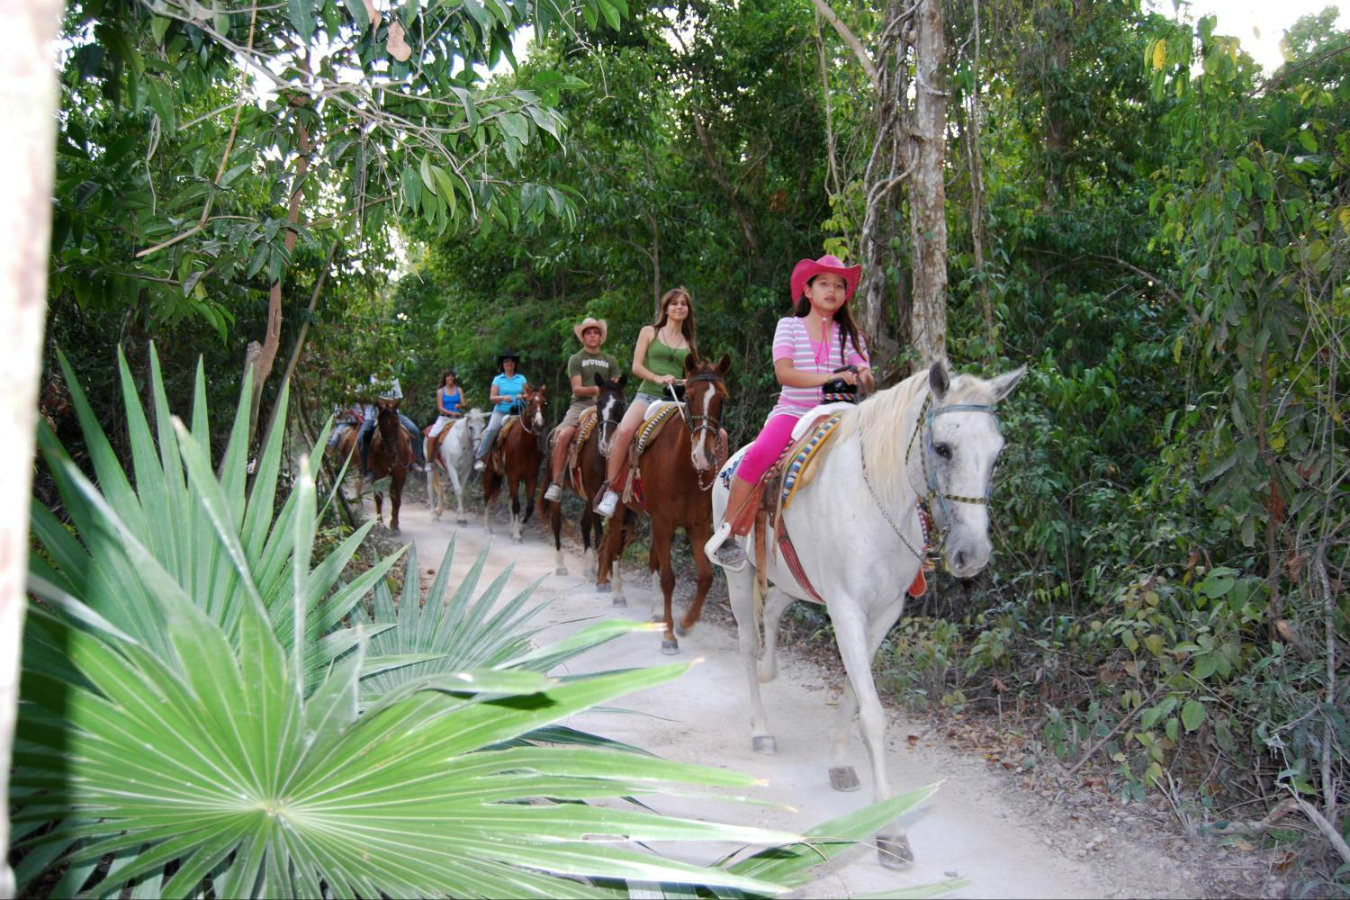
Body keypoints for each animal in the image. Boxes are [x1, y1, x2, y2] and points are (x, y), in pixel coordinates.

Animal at [483, 385, 545, 545]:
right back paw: (487, 528)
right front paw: (517, 535)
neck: (524, 445)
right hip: (489, 474)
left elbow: (529, 506)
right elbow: (517, 504)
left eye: (544, 402)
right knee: (487, 498)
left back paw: (511, 528)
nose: (539, 425)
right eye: (529, 402)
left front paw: (520, 528)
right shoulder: (514, 476)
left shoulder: (531, 478)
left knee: (509, 500)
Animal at [540, 372, 629, 577]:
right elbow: (599, 534)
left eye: (621, 404)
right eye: (599, 404)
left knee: (583, 523)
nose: (605, 444)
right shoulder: (593, 489)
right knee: (556, 521)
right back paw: (561, 565)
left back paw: (588, 567)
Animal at [599, 353, 734, 655]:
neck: (683, 469)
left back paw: (655, 613)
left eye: (722, 398)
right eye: (690, 397)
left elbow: (705, 577)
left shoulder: (697, 526)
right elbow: (669, 578)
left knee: (651, 560)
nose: (703, 456)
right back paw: (617, 593)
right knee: (614, 547)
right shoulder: (663, 521)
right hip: (622, 511)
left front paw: (684, 623)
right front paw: (670, 636)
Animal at [718, 361, 1020, 874]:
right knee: (746, 643)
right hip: (740, 576)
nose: (972, 555)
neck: (876, 500)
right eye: (943, 447)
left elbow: (852, 693)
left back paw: (770, 669)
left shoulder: (882, 614)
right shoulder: (846, 609)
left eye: (996, 455)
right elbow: (874, 715)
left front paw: (840, 762)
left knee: (774, 610)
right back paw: (761, 730)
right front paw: (891, 832)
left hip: (796, 583)